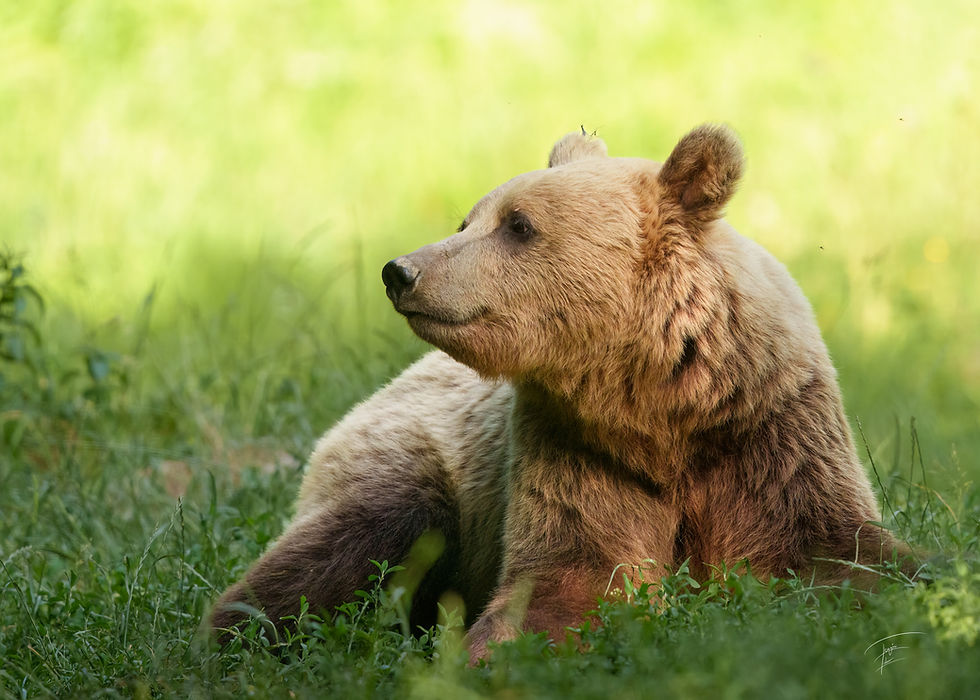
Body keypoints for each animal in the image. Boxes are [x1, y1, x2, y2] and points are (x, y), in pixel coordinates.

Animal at [211, 124, 914, 660]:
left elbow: (838, 551)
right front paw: (486, 657)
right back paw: (234, 636)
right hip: (413, 463)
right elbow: (569, 578)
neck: (658, 406)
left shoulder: (768, 429)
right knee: (338, 551)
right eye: (468, 218)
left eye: (518, 225)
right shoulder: (573, 448)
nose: (400, 271)